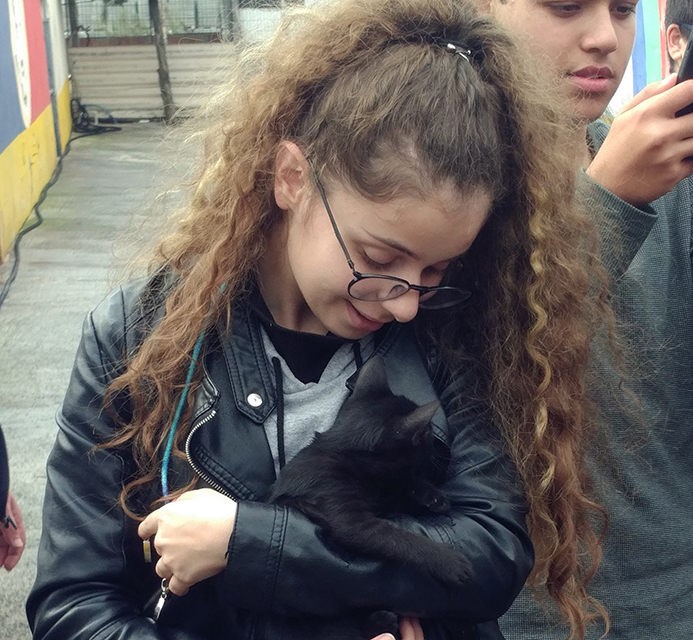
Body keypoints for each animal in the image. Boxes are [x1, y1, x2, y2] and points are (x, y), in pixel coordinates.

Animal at [262, 355, 473, 640]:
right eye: (425, 434)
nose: (435, 447)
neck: (343, 451)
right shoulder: (348, 516)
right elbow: (400, 538)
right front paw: (451, 562)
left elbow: (403, 484)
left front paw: (433, 496)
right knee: (334, 629)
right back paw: (380, 622)